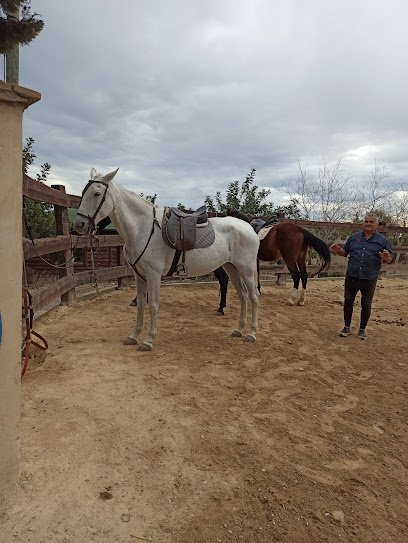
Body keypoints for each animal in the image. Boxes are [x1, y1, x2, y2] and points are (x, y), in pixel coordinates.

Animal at [75, 168, 260, 350]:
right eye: (83, 192)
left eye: (97, 193)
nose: (79, 225)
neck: (143, 228)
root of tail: (250, 228)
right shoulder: (139, 276)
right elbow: (141, 304)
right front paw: (133, 336)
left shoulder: (153, 274)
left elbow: (153, 304)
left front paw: (149, 340)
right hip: (231, 267)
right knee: (243, 295)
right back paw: (238, 330)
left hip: (246, 270)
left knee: (253, 296)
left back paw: (251, 333)